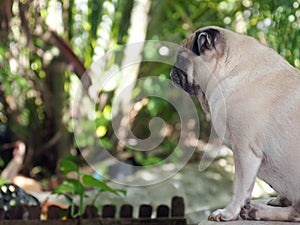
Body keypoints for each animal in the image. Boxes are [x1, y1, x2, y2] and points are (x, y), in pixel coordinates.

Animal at [171, 25, 300, 221]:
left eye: (181, 59)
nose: (172, 71)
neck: (232, 71)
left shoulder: (244, 150)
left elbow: (239, 186)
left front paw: (228, 213)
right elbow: (247, 188)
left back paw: (258, 211)